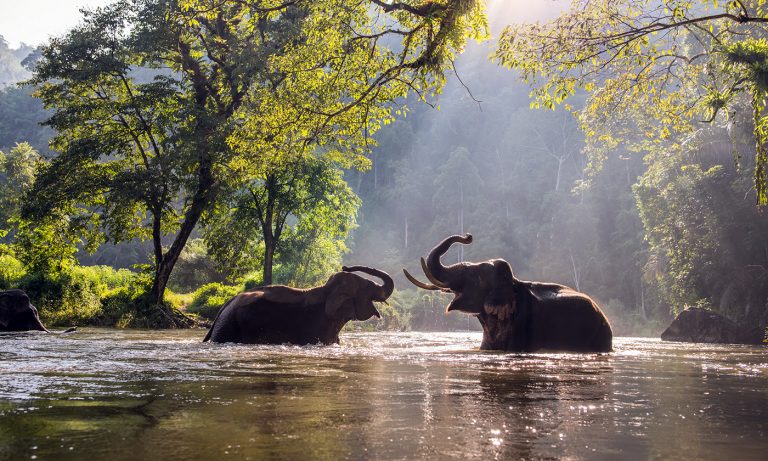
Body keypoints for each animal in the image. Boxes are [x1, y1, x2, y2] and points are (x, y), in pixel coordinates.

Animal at [203, 265, 394, 345]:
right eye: (367, 286)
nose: (345, 266)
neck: (326, 290)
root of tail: (224, 307)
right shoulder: (316, 326)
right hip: (228, 327)